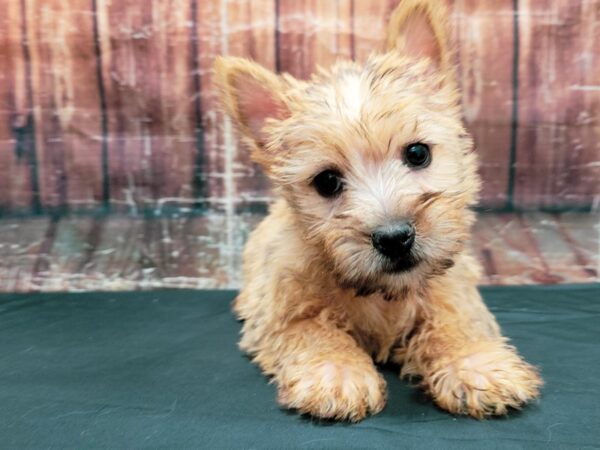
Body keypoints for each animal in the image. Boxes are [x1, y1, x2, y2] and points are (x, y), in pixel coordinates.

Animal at [214, 0, 540, 422]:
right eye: (327, 181)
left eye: (417, 153)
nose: (395, 238)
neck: (382, 293)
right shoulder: (282, 312)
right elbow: (314, 332)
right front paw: (336, 374)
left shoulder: (451, 289)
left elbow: (455, 322)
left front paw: (476, 365)